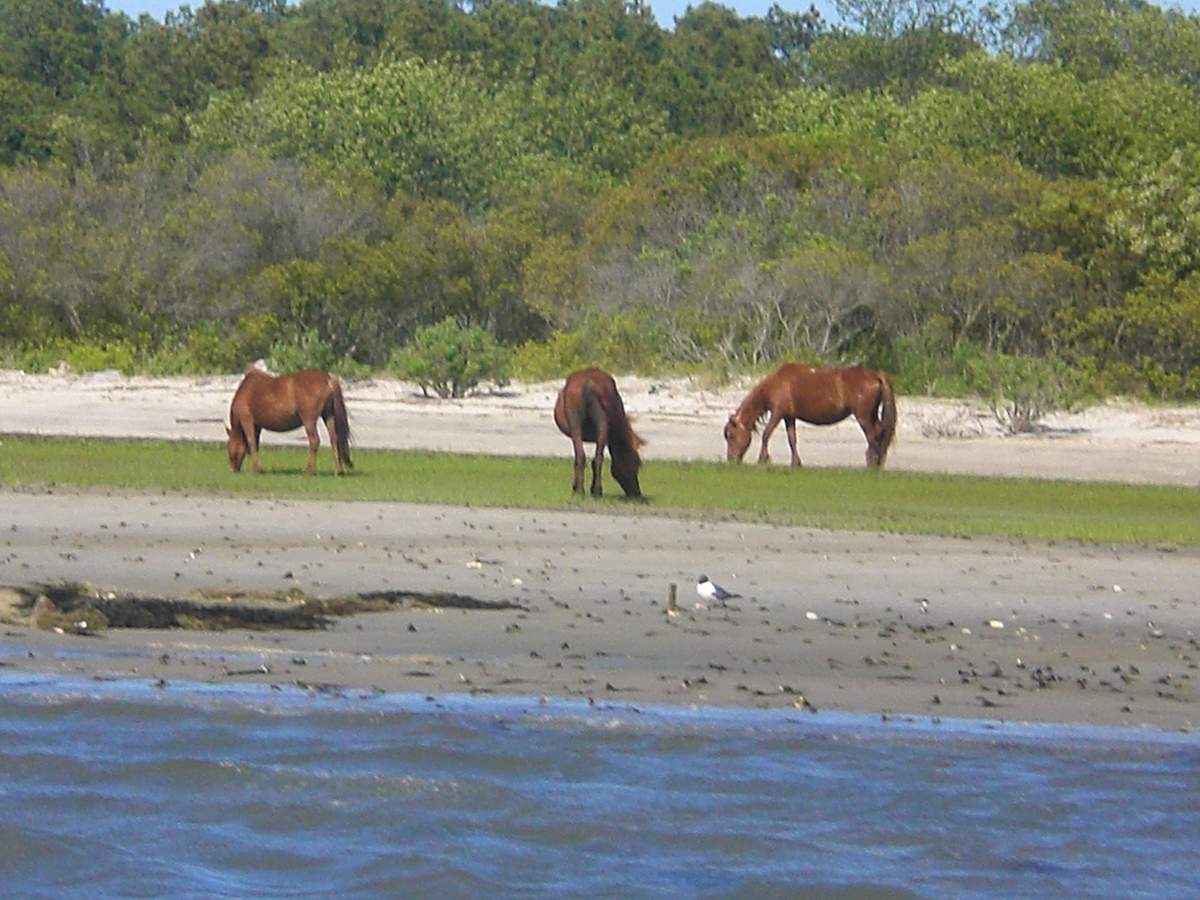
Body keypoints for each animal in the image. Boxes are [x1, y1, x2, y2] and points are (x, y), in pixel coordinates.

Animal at [554, 369, 648, 504]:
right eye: (635, 464)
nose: (636, 493)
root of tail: (589, 386)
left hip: (577, 423)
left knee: (582, 456)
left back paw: (582, 490)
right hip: (601, 423)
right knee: (596, 458)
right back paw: (595, 490)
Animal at [720, 362, 902, 468]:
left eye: (731, 435)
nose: (731, 459)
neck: (778, 382)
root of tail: (876, 375)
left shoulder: (777, 413)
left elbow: (766, 434)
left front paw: (763, 459)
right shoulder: (789, 417)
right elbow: (792, 439)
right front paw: (796, 463)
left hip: (863, 416)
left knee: (872, 436)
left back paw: (872, 464)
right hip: (871, 414)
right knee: (880, 433)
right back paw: (878, 462)